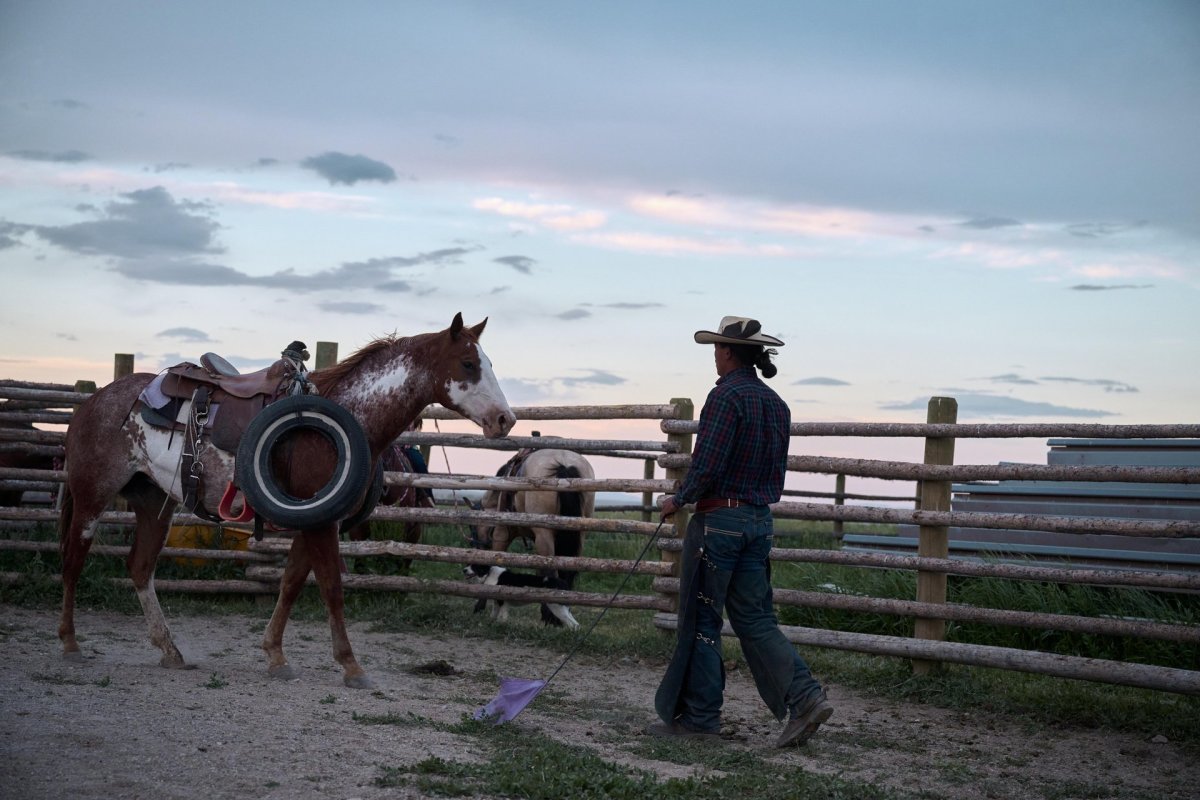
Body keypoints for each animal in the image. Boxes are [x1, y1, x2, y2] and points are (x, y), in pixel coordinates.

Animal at [57, 312, 514, 688]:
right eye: (469, 364)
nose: (505, 420)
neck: (351, 416)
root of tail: (94, 401)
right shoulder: (321, 524)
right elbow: (331, 587)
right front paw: (351, 666)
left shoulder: (315, 522)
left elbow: (292, 583)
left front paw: (275, 655)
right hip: (92, 495)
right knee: (74, 559)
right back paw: (70, 644)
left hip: (155, 503)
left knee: (139, 567)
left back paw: (169, 650)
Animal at [474, 448, 594, 625]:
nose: (479, 544)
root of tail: (564, 464)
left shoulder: (502, 533)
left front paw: (480, 605)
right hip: (578, 535)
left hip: (544, 534)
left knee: (550, 570)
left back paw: (550, 615)